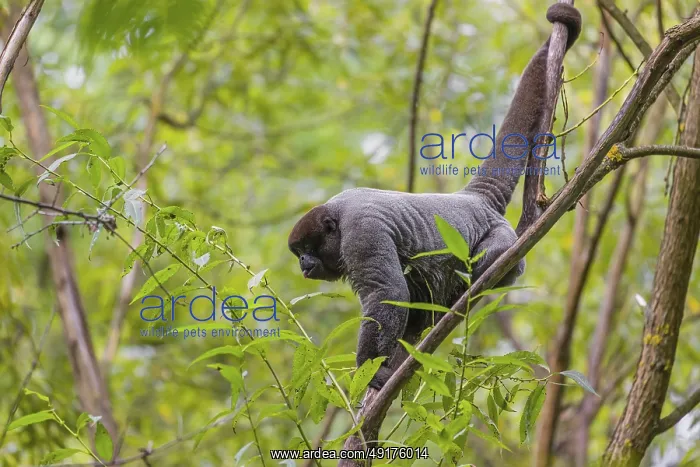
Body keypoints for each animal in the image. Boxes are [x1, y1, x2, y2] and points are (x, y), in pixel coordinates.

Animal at [288, 4, 581, 390]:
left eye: (308, 249)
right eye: (298, 254)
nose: (304, 264)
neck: (337, 213)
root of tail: (473, 200)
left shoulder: (362, 233)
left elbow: (388, 293)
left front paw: (371, 372)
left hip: (502, 238)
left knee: (492, 260)